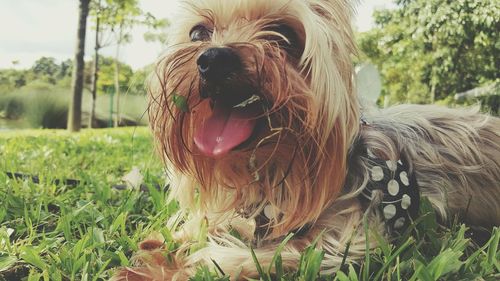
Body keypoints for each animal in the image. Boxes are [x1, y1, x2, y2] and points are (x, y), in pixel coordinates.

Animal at [113, 1, 500, 278]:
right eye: (197, 33)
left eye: (284, 35)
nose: (214, 58)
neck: (271, 167)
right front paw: (162, 246)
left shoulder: (350, 235)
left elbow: (261, 254)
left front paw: (188, 263)